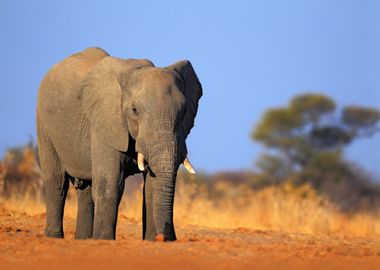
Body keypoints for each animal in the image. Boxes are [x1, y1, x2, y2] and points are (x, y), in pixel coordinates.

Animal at [36, 47, 202, 242]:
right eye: (134, 110)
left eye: (184, 111)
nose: (167, 237)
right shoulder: (105, 121)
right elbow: (111, 184)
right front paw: (104, 240)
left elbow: (151, 188)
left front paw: (152, 241)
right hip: (44, 124)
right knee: (57, 182)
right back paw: (54, 237)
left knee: (86, 189)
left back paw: (83, 239)